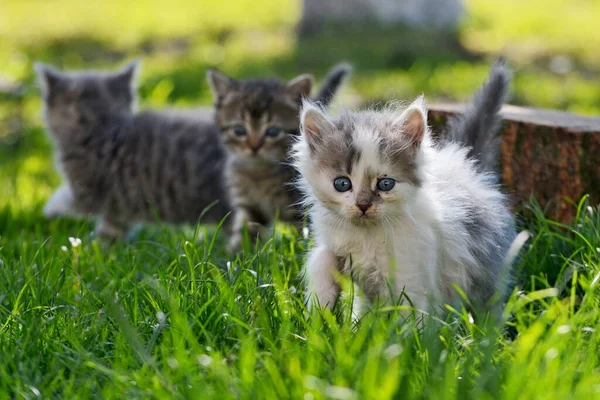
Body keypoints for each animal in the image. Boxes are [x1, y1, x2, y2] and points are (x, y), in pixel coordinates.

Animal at [37, 61, 230, 239]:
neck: (104, 128)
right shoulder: (118, 206)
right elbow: (110, 231)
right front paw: (99, 250)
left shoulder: (86, 191)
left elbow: (63, 198)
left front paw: (49, 210)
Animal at [207, 62, 352, 250]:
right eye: (239, 130)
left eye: (273, 132)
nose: (254, 147)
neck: (259, 173)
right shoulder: (250, 206)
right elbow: (246, 229)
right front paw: (235, 252)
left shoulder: (302, 207)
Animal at [294, 61, 516, 314]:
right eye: (342, 184)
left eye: (386, 184)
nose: (363, 205)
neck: (367, 235)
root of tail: (469, 167)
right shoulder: (335, 244)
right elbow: (321, 261)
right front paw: (320, 308)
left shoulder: (412, 271)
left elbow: (408, 311)